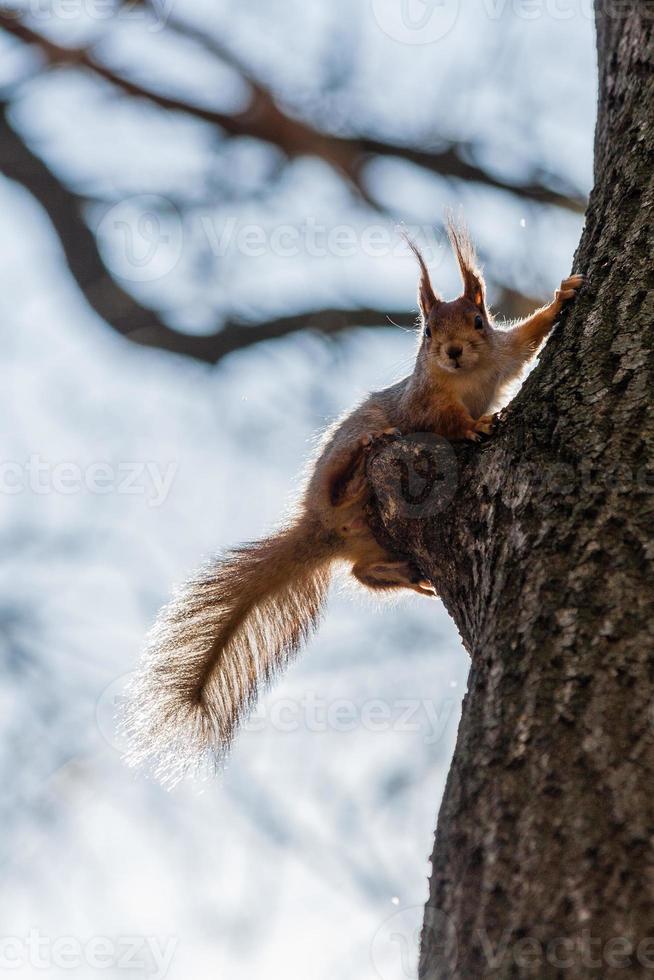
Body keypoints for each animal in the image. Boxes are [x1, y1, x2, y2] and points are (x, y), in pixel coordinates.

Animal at [125, 218, 588, 784]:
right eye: (427, 332)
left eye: (478, 321)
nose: (453, 351)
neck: (465, 377)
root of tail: (322, 527)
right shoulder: (424, 404)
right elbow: (447, 421)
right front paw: (476, 425)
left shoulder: (503, 357)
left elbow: (526, 339)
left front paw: (563, 296)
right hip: (343, 469)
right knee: (345, 491)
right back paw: (362, 461)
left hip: (374, 539)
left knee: (360, 573)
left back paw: (405, 574)